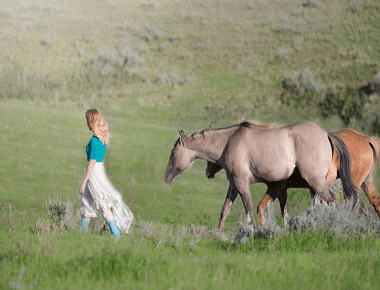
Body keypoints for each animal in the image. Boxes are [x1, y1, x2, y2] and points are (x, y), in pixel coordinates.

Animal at [164, 120, 356, 231]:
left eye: (173, 153)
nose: (166, 177)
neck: (230, 142)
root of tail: (326, 133)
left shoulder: (242, 184)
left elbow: (249, 210)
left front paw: (253, 234)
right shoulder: (233, 185)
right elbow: (225, 210)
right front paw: (217, 235)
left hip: (315, 182)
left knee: (333, 200)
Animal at [206, 124, 380, 227]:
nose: (208, 172)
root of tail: (367, 139)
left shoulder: (277, 188)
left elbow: (266, 208)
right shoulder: (282, 190)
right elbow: (283, 210)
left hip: (347, 186)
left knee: (351, 204)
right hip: (364, 184)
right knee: (372, 204)